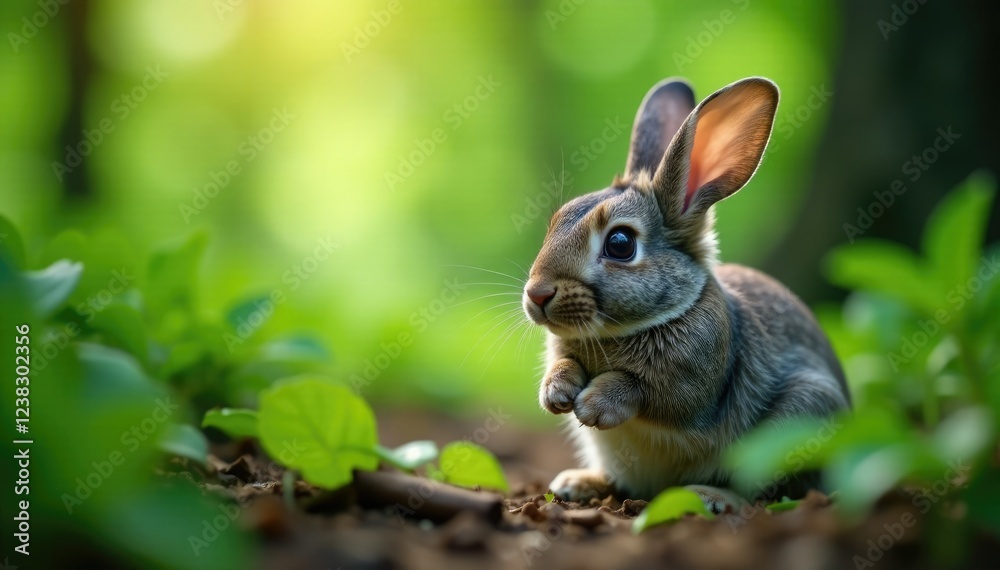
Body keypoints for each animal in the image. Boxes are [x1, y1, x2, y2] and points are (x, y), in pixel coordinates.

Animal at [522, 77, 851, 513]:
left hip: (801, 416)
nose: (537, 294)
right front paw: (556, 393)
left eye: (621, 244)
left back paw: (711, 497)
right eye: (556, 221)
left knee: (763, 493)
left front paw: (593, 403)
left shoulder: (693, 382)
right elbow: (564, 365)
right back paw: (577, 483)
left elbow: (647, 391)